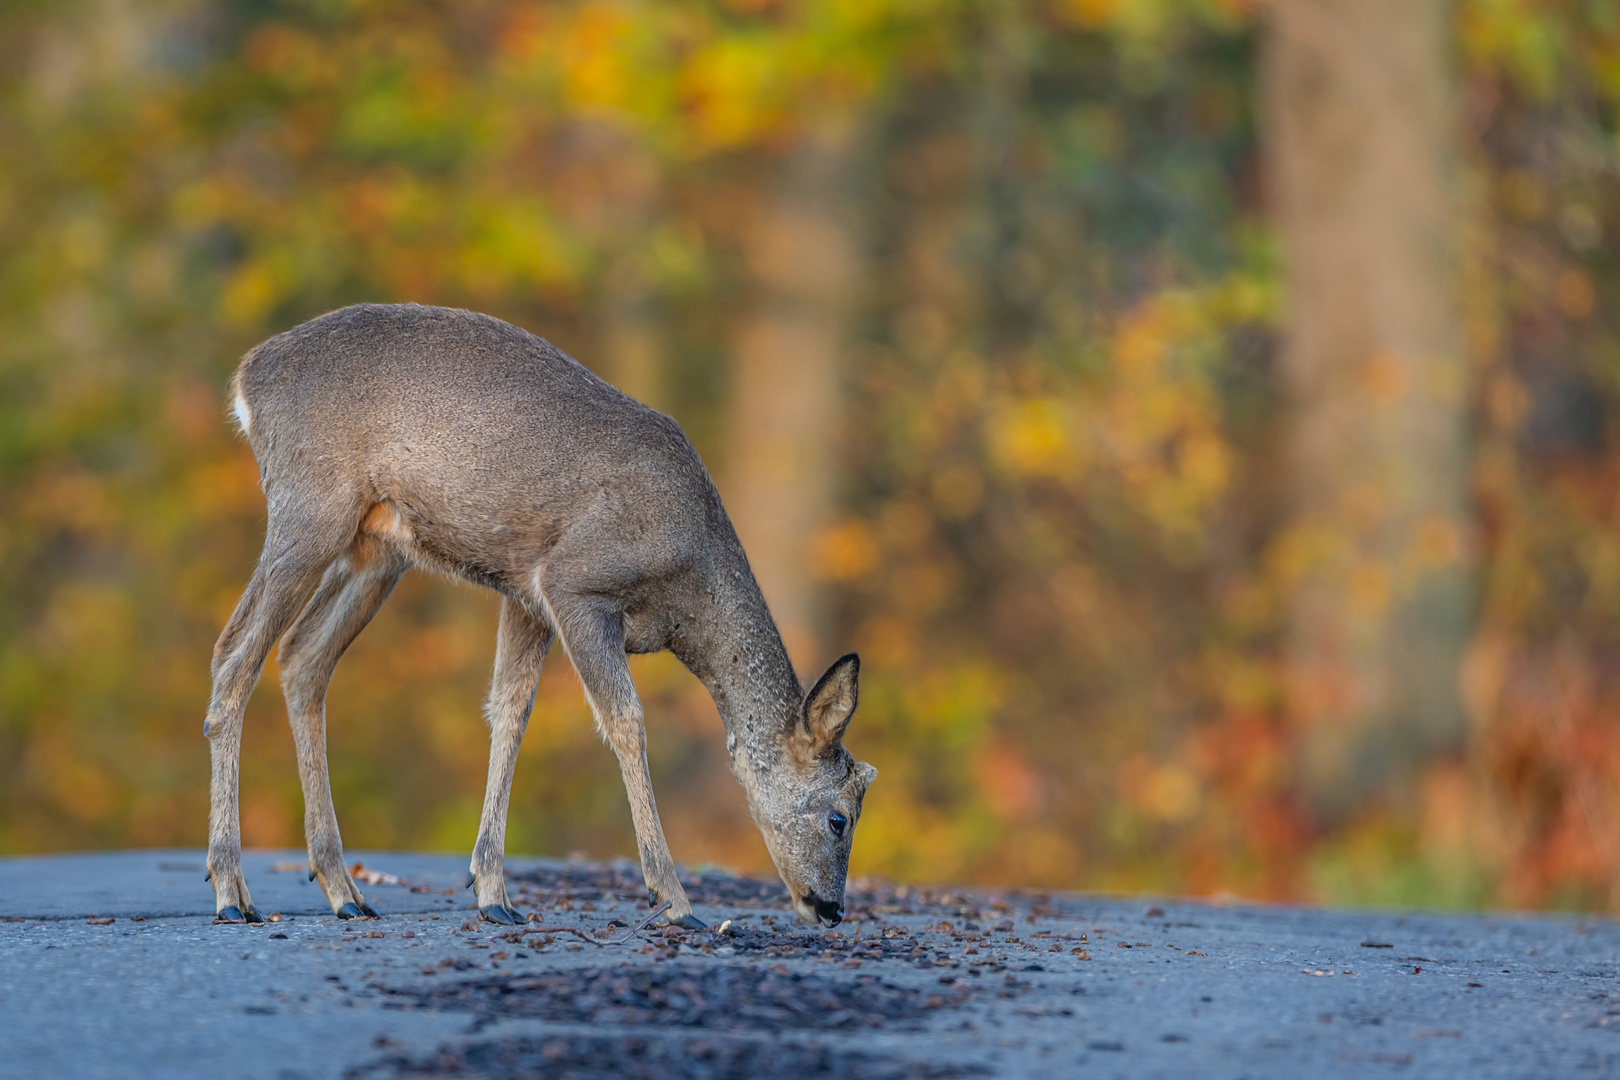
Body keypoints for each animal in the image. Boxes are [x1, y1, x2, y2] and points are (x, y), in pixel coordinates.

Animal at [212, 304, 887, 932]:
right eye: (839, 816)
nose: (831, 909)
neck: (686, 598)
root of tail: (248, 377)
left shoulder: (524, 595)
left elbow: (511, 712)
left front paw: (492, 891)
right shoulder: (573, 583)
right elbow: (626, 720)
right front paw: (672, 899)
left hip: (378, 548)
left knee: (303, 656)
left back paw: (344, 892)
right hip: (310, 506)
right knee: (235, 652)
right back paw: (231, 893)